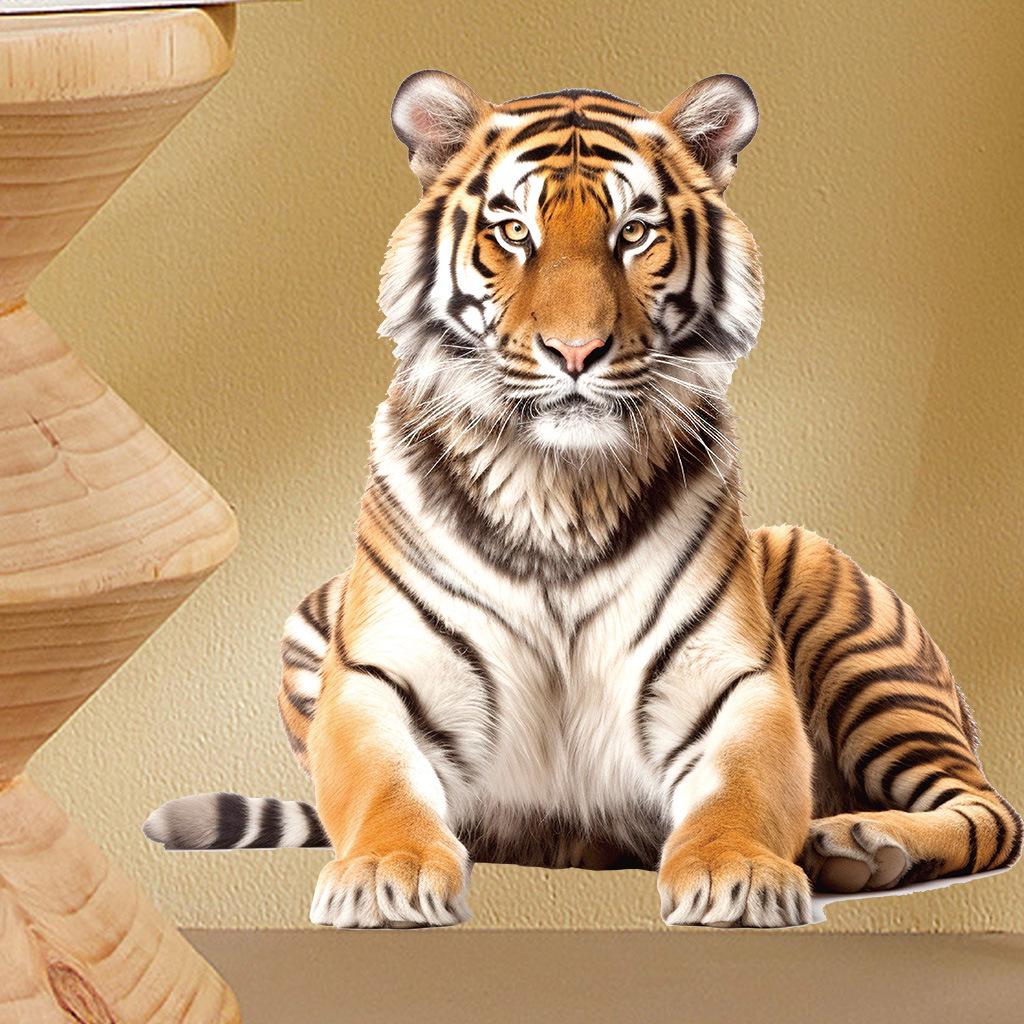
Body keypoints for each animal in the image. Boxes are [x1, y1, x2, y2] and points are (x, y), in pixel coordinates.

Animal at [144, 70, 1021, 929]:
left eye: (633, 233)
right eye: (513, 232)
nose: (575, 351)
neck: (556, 487)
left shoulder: (736, 683)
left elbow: (741, 788)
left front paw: (737, 873)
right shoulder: (374, 677)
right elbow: (382, 785)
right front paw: (388, 874)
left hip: (859, 644)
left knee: (989, 809)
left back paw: (859, 844)